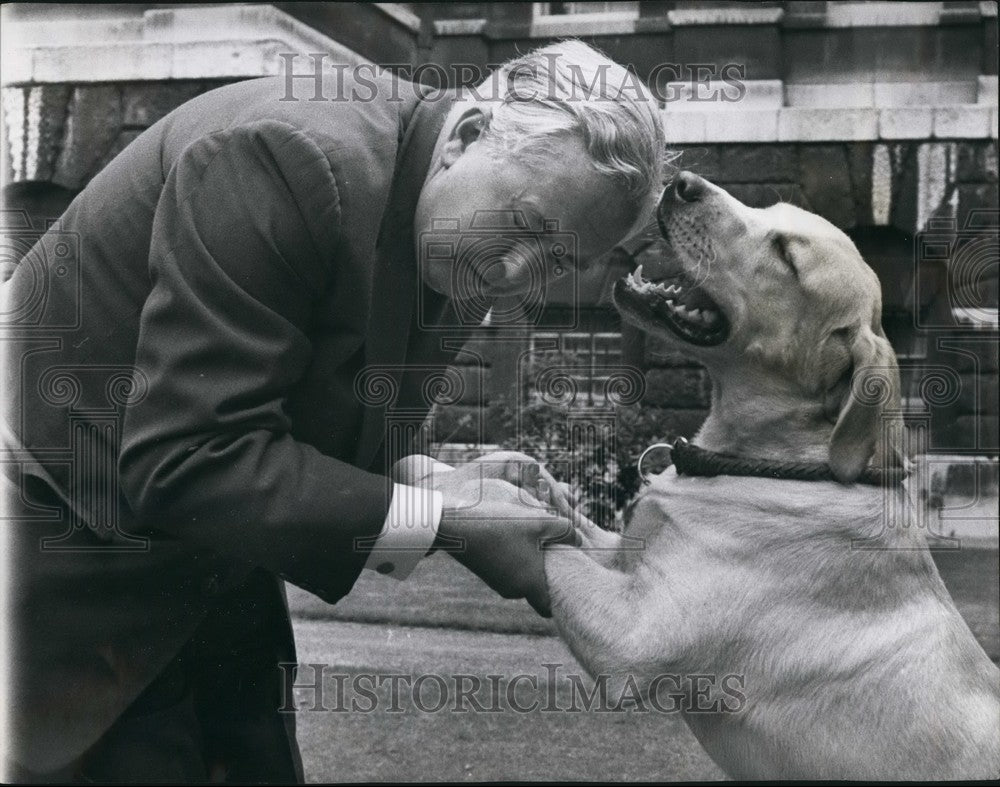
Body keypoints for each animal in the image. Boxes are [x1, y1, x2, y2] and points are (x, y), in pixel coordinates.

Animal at [544, 172, 1000, 780]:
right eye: (770, 208)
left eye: (786, 255)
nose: (683, 181)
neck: (779, 465)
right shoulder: (627, 557)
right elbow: (566, 521)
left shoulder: (632, 636)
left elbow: (550, 547)